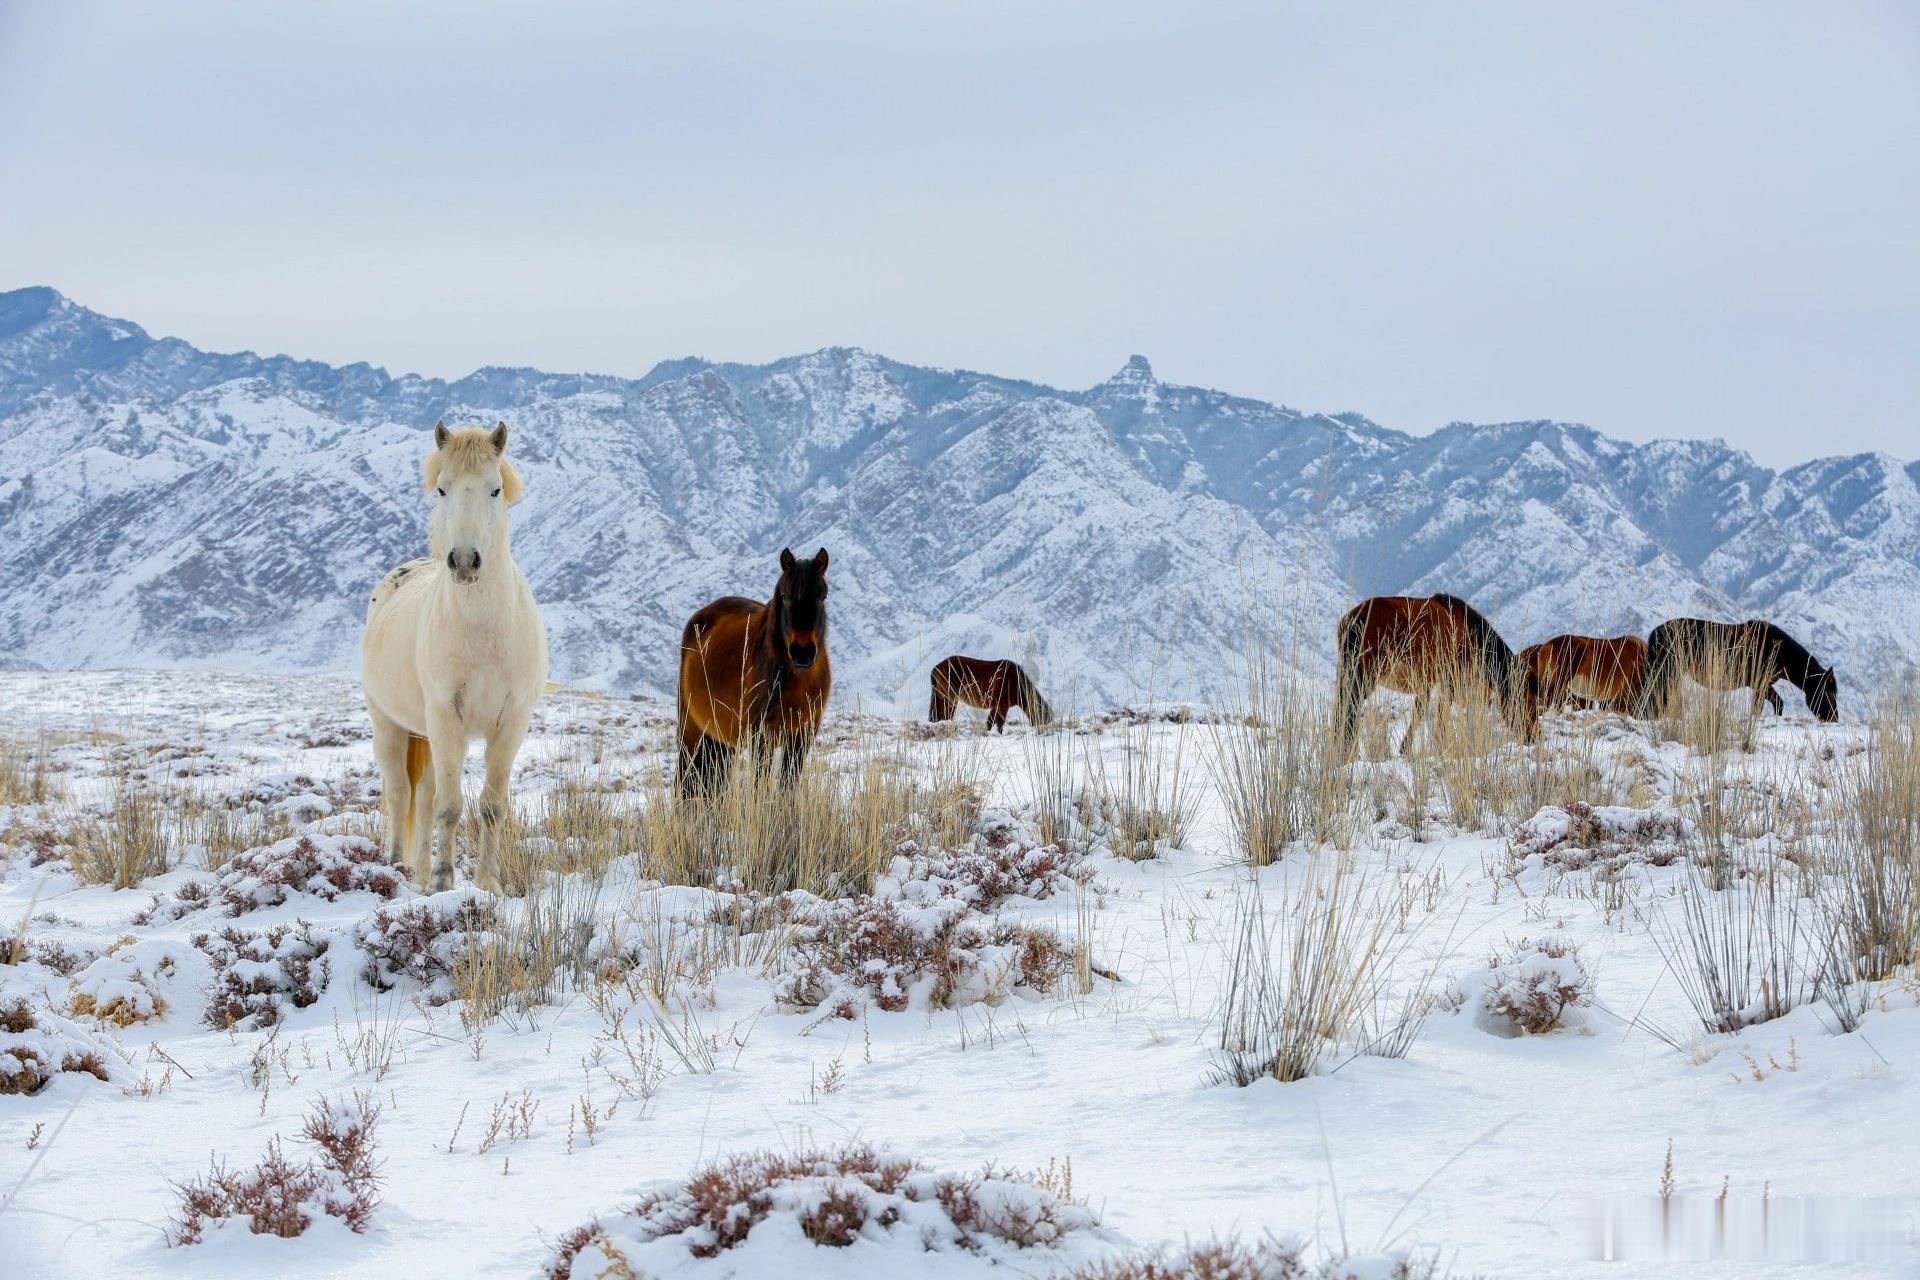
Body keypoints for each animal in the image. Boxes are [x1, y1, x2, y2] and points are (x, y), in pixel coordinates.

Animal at [361, 422, 548, 892]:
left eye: (495, 489)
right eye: (442, 489)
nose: (464, 562)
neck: (482, 636)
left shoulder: (511, 723)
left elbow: (491, 807)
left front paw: (487, 885)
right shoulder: (448, 718)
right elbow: (450, 805)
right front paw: (444, 884)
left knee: (424, 796)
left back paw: (419, 872)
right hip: (389, 724)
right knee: (400, 793)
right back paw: (398, 867)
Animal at [677, 547, 832, 796]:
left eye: (821, 597)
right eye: (786, 597)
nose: (802, 653)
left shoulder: (802, 736)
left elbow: (788, 787)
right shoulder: (761, 736)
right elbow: (761, 785)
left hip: (722, 739)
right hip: (691, 729)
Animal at [1333, 593, 1535, 757]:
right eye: (1527, 699)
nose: (1533, 737)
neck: (1468, 629)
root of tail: (1353, 618)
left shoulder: (1428, 682)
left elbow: (1421, 710)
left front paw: (1406, 748)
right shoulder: (1451, 677)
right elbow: (1440, 711)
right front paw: (1439, 744)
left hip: (1349, 672)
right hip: (1365, 675)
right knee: (1349, 707)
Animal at [1638, 618, 1838, 722]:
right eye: (1828, 693)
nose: (1833, 718)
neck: (1780, 652)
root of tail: (1656, 632)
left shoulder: (1761, 687)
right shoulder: (1761, 684)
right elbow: (1774, 704)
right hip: (1664, 671)